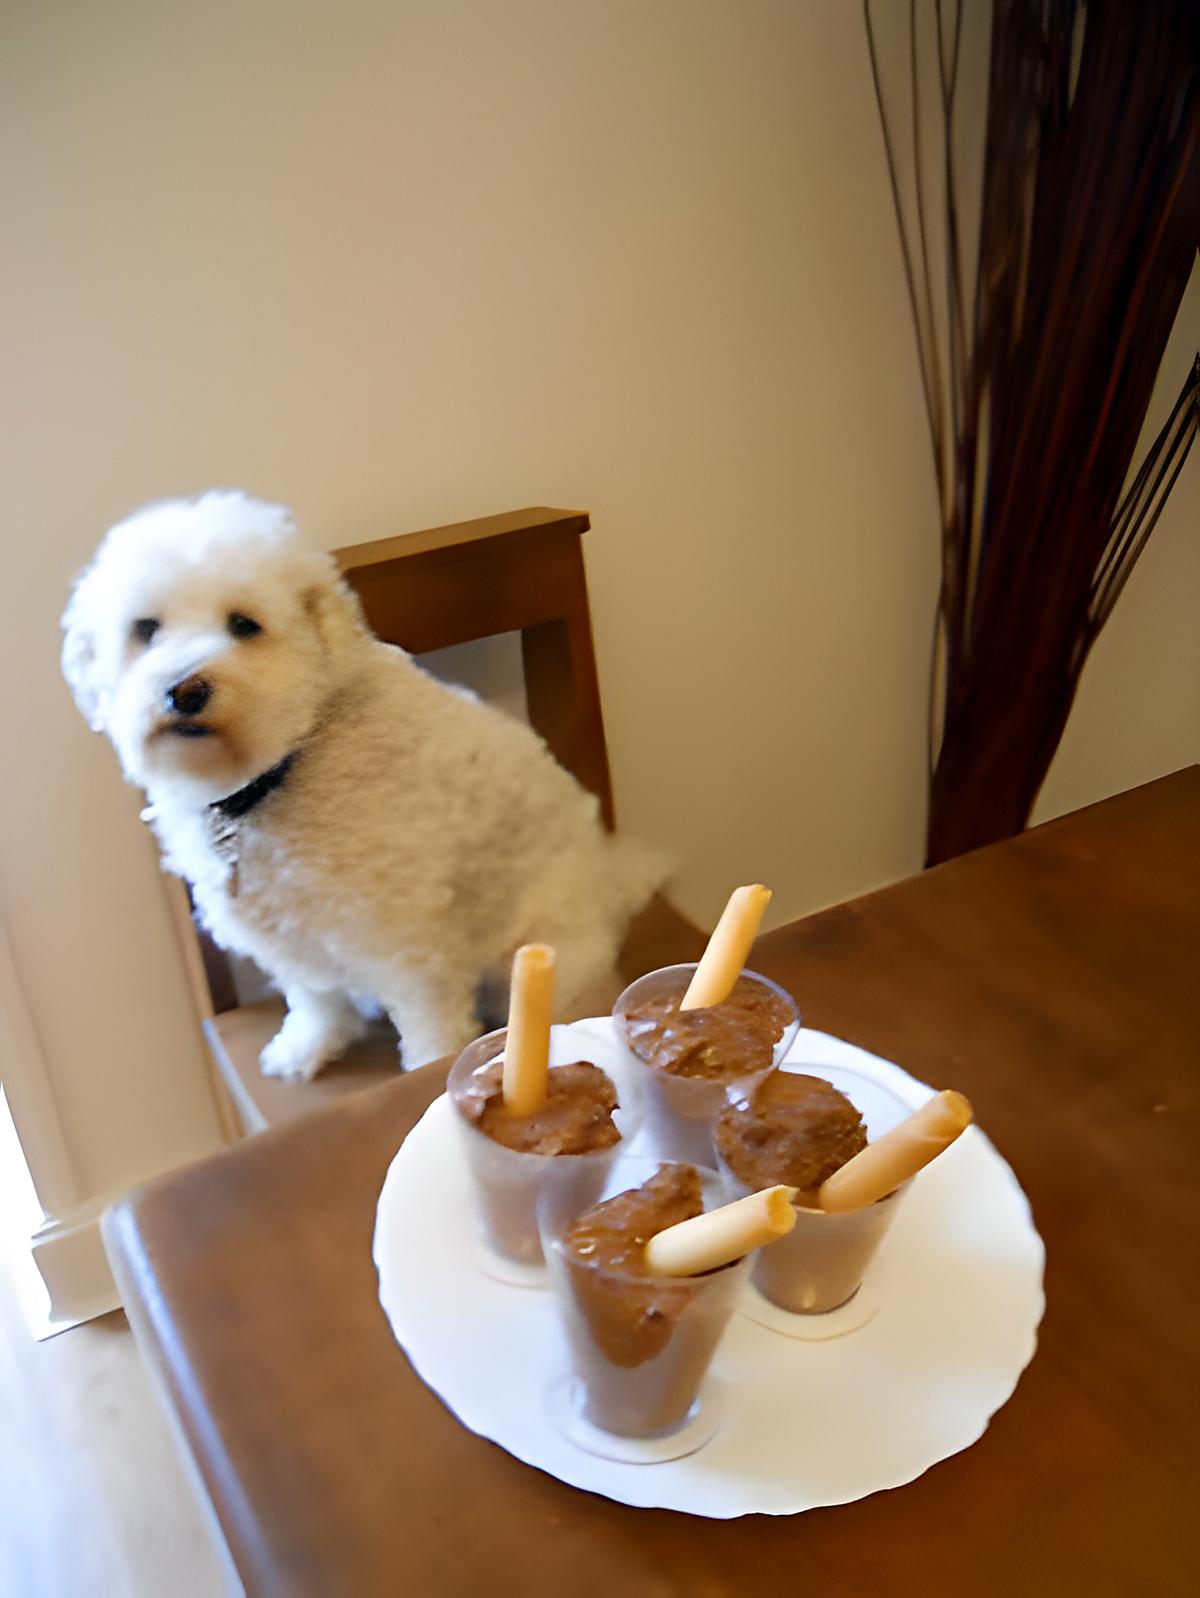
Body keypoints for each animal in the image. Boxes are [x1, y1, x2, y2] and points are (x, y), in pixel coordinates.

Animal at [63, 492, 667, 1080]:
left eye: (243, 624)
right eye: (146, 629)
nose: (184, 691)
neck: (285, 768)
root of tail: (615, 884)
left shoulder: (406, 950)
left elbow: (430, 1035)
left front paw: (426, 1070)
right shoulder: (288, 933)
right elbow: (314, 1001)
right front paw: (306, 1048)